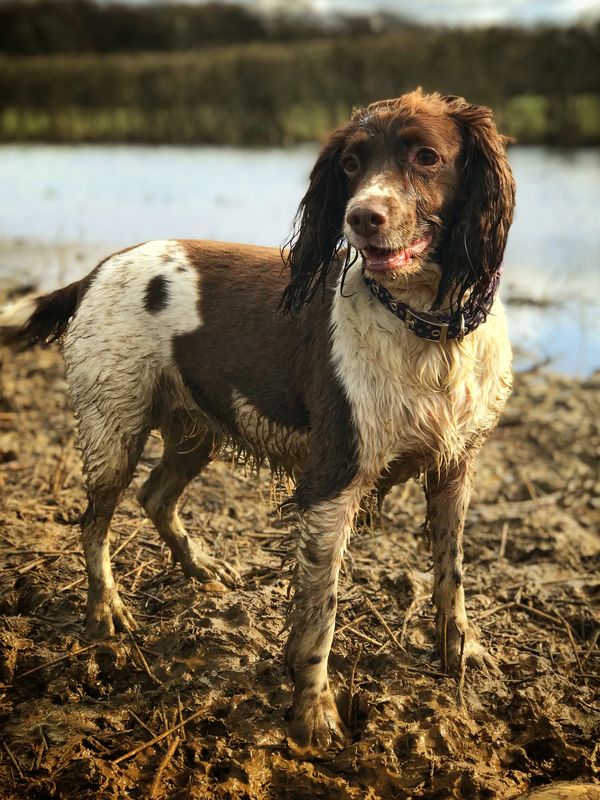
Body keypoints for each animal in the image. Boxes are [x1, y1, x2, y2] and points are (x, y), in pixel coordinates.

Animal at [0, 90, 516, 752]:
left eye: (426, 156)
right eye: (351, 163)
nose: (361, 217)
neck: (427, 326)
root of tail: (99, 269)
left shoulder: (456, 468)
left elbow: (451, 571)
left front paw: (460, 651)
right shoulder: (333, 480)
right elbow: (320, 613)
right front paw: (313, 713)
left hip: (195, 430)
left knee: (156, 495)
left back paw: (200, 566)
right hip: (114, 427)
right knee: (94, 521)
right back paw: (106, 611)